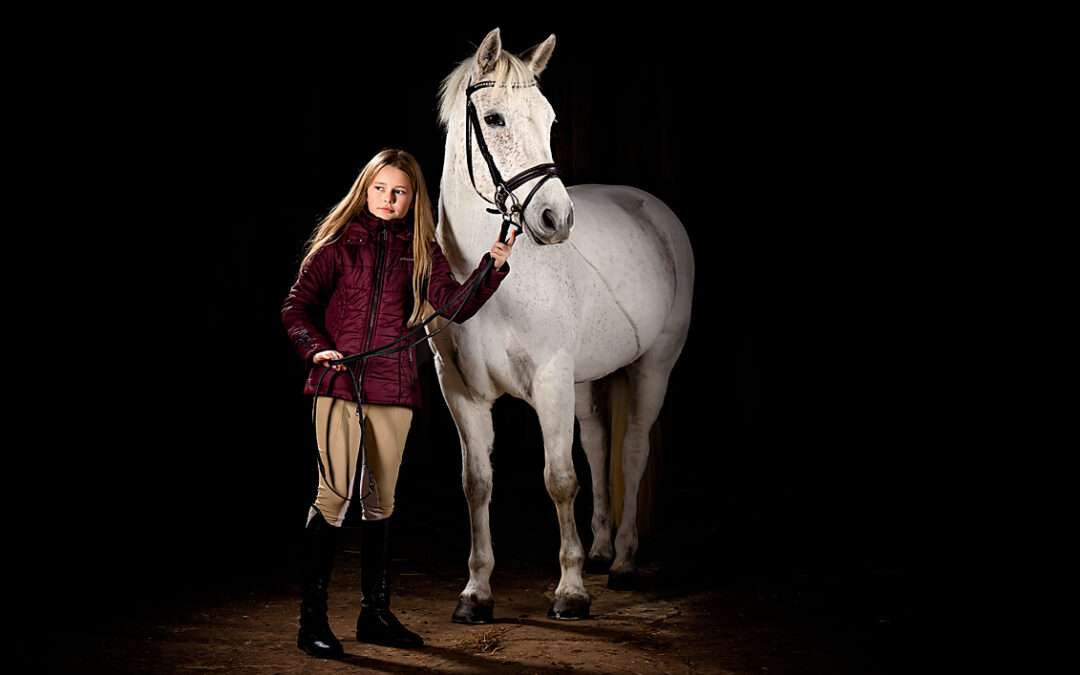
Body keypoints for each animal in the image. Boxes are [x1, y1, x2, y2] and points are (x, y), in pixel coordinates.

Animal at [425, 27, 695, 622]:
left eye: (549, 121)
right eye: (495, 119)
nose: (557, 219)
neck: (489, 281)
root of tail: (653, 208)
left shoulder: (550, 380)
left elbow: (560, 479)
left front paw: (570, 591)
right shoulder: (461, 392)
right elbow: (476, 483)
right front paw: (475, 593)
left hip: (654, 367)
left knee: (631, 449)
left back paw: (622, 561)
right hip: (587, 378)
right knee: (597, 442)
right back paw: (599, 548)